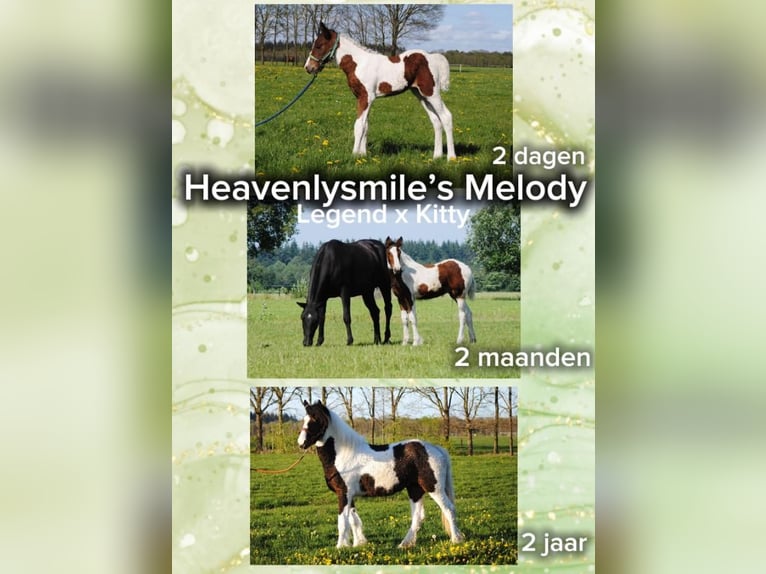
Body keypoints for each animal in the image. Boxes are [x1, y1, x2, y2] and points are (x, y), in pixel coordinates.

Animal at [298, 400, 464, 548]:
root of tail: (436, 449)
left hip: (433, 488)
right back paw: (405, 544)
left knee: (449, 509)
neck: (343, 454)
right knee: (418, 516)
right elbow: (353, 520)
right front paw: (358, 544)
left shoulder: (343, 493)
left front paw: (340, 547)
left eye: (316, 419)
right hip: (415, 489)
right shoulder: (349, 495)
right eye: (304, 419)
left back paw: (456, 540)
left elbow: (342, 522)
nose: (301, 443)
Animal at [304, 22, 456, 160]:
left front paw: (354, 155)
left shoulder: (366, 97)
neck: (359, 64)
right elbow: (365, 126)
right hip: (421, 95)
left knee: (446, 117)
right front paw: (363, 155)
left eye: (319, 45)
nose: (309, 68)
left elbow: (359, 125)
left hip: (431, 93)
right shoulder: (363, 98)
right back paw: (437, 156)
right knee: (436, 121)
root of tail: (433, 57)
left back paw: (451, 157)